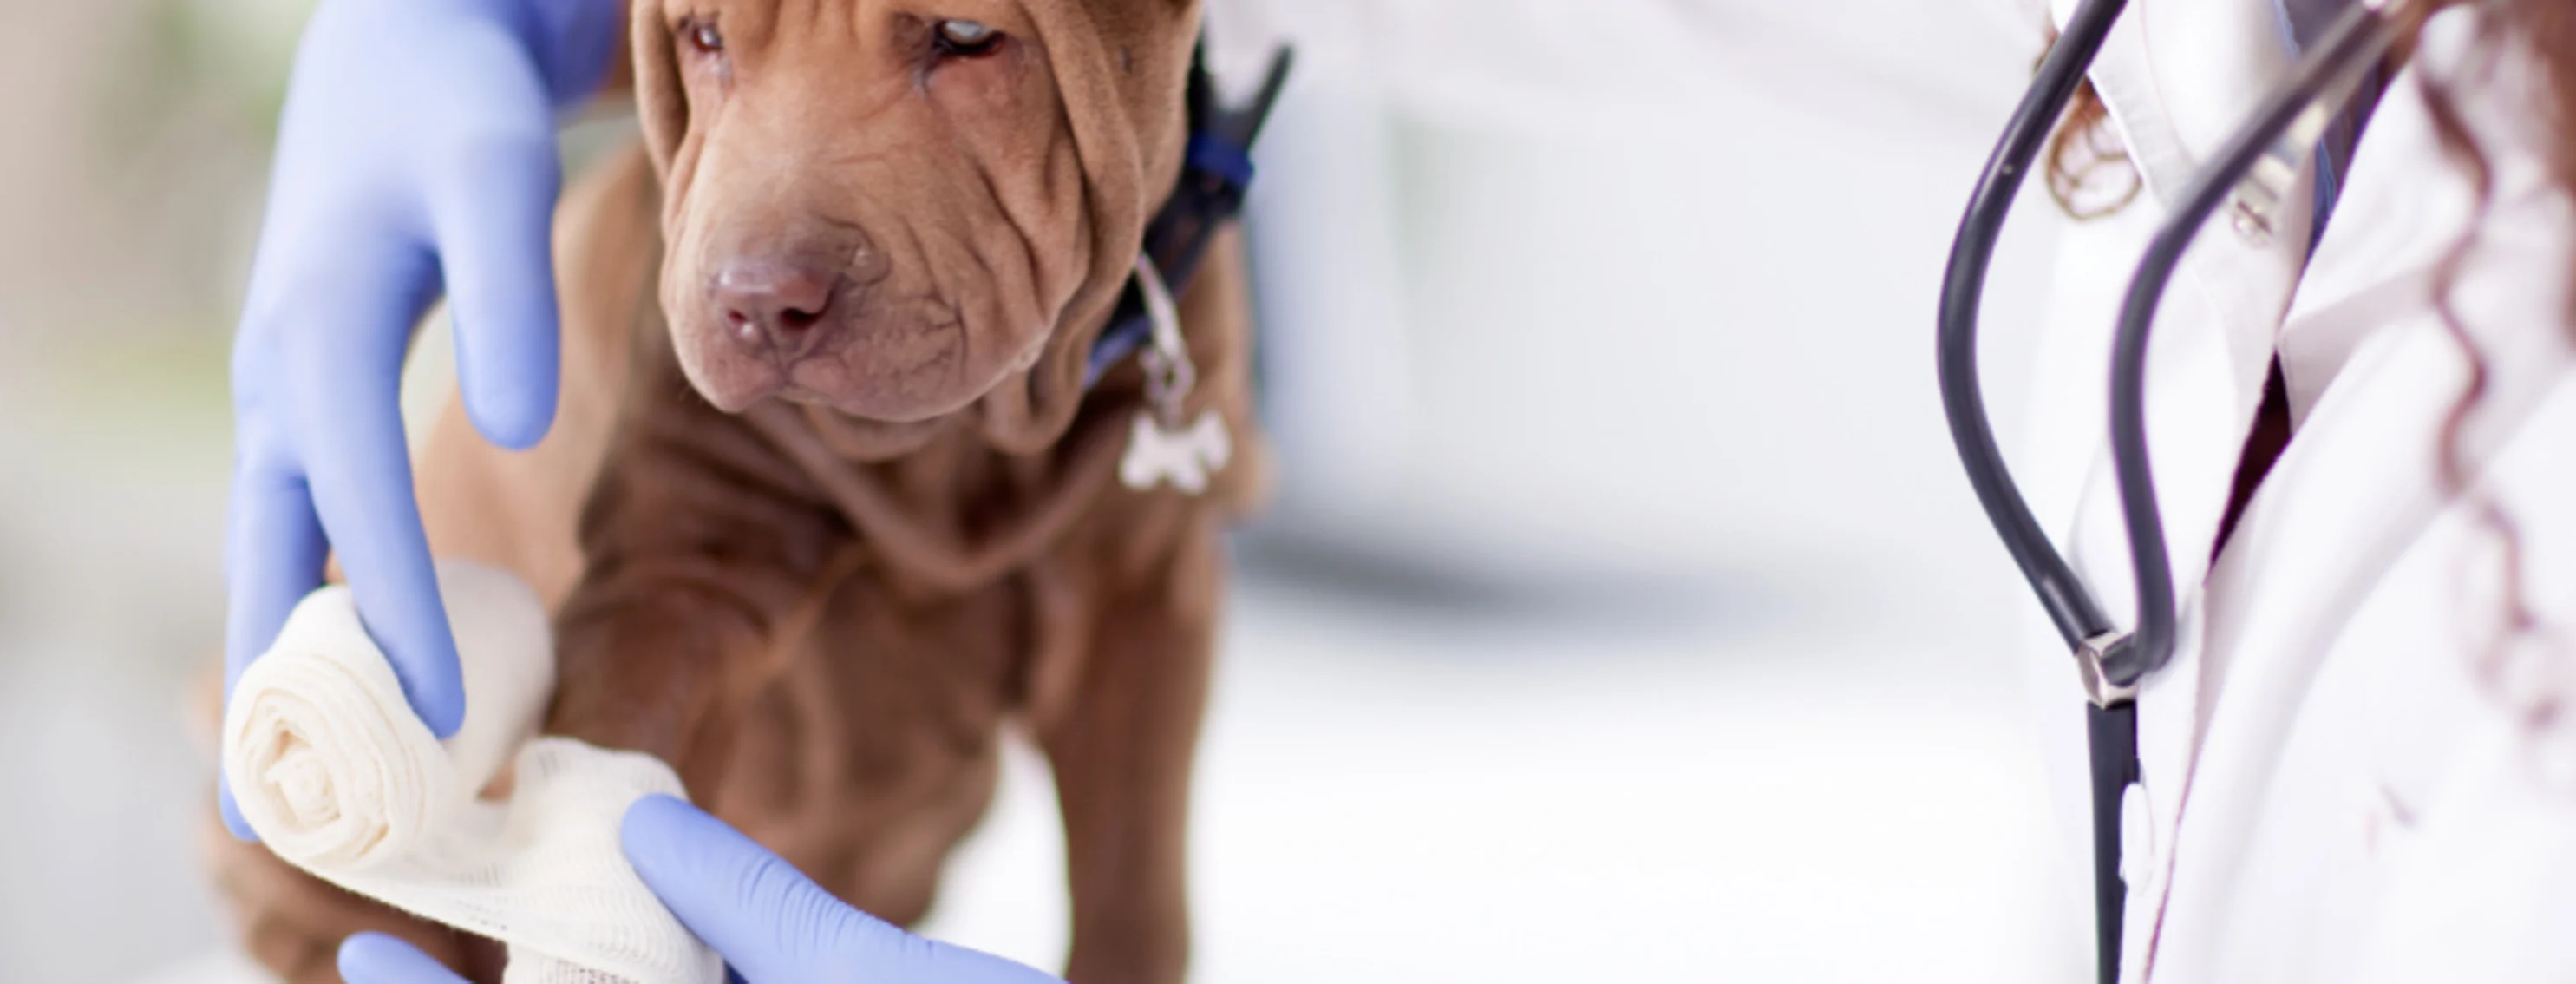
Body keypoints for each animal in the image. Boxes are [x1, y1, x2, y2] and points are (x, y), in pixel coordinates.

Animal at [206, 2, 1272, 984]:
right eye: (705, 37)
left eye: (969, 36)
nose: (757, 301)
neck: (966, 453)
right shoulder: (680, 568)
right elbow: (619, 765)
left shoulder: (1147, 601)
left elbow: (1133, 882)